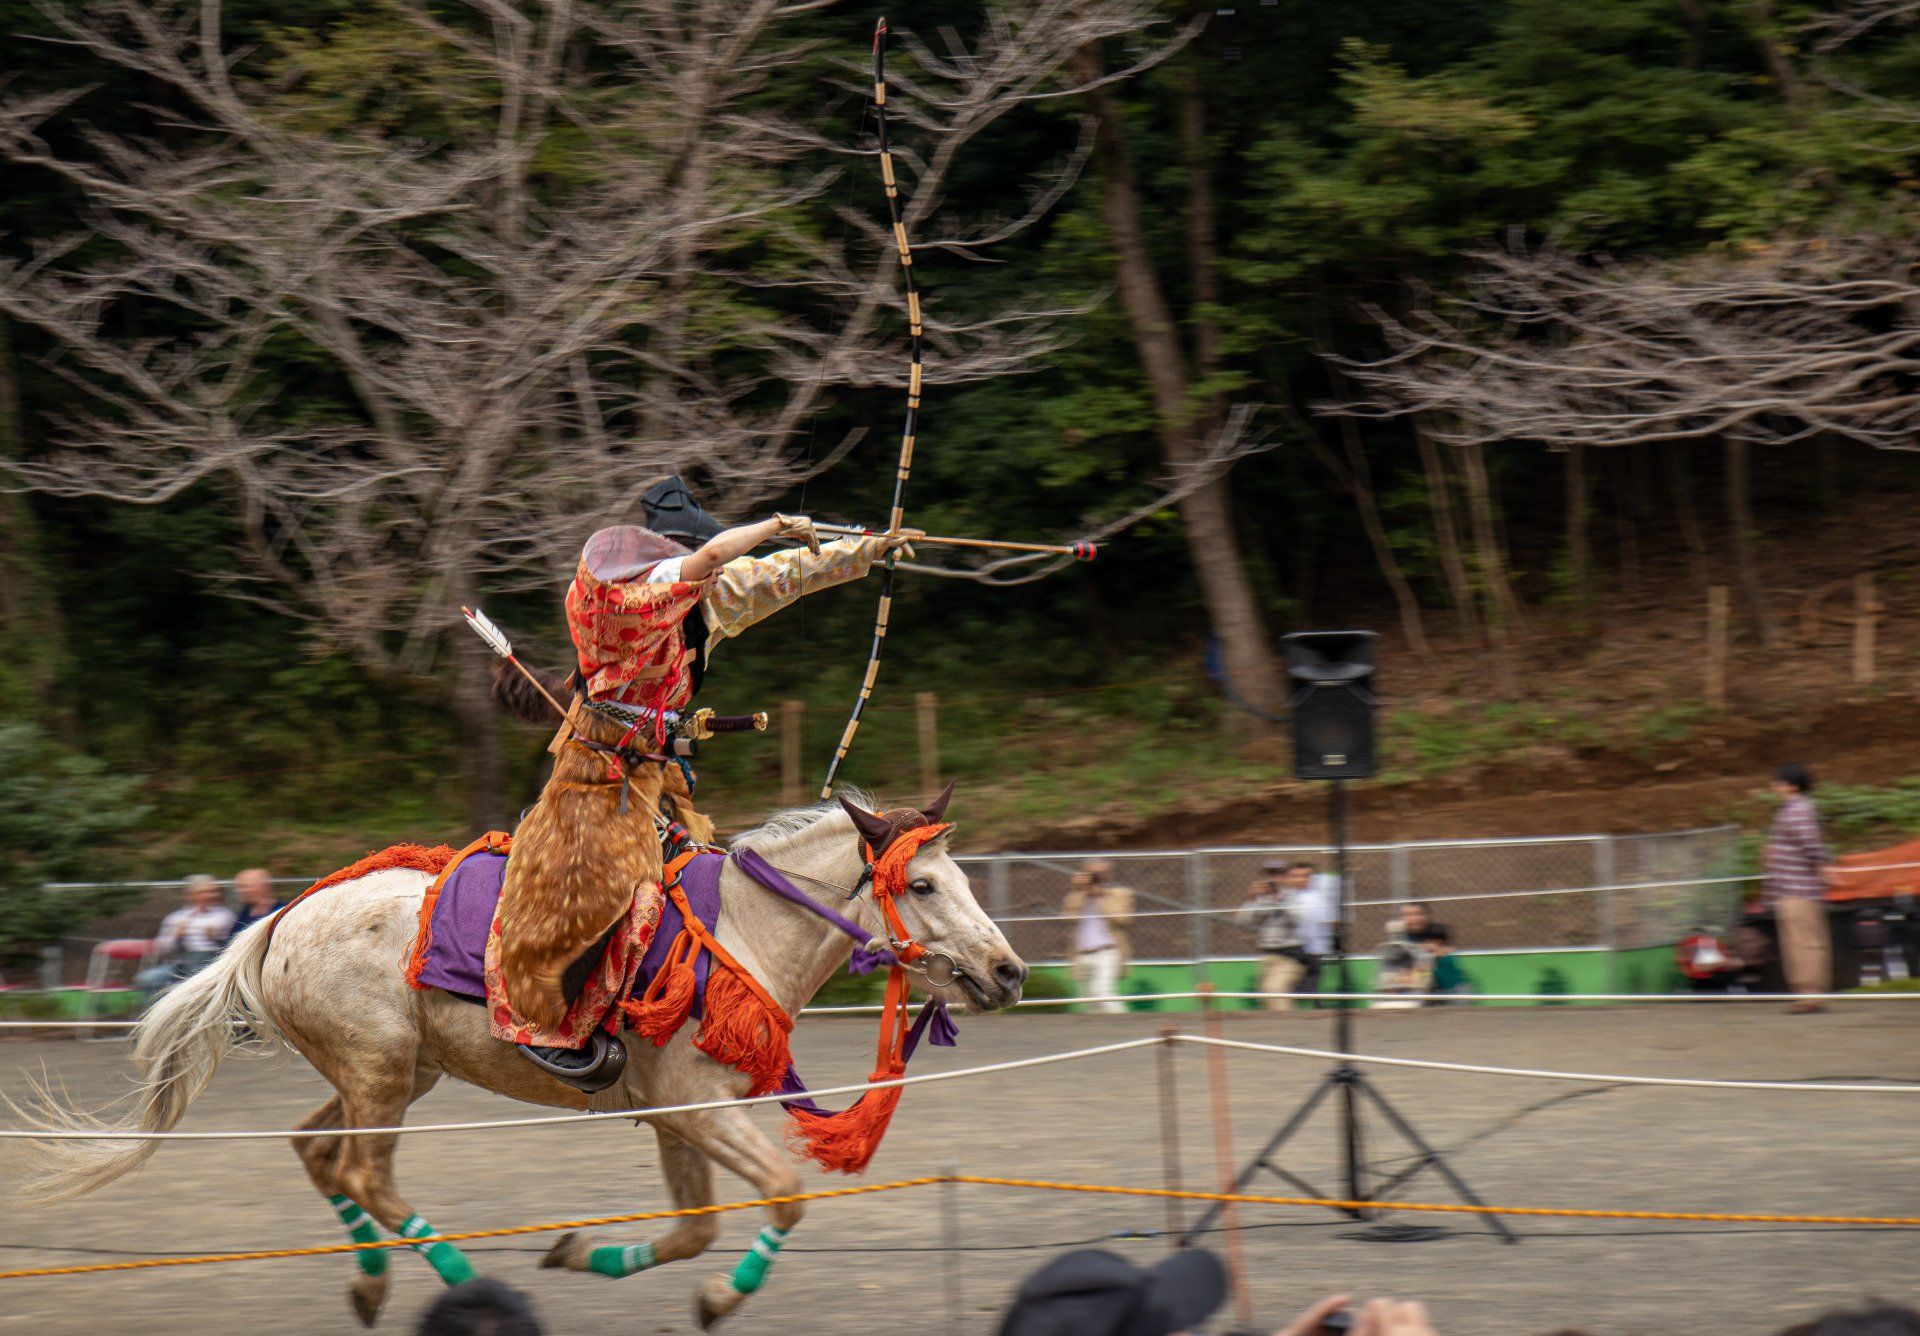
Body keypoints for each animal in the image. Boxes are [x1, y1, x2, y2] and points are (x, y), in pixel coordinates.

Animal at [15, 787, 1029, 1320]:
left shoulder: (677, 1115)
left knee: (318, 1152)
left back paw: (374, 1286)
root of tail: (277, 919)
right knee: (364, 1174)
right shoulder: (699, 1108)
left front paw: (586, 1256)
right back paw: (463, 1278)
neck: (738, 933)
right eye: (924, 885)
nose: (1010, 971)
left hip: (392, 1073)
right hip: (380, 1072)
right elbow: (782, 1191)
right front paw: (717, 1300)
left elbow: (694, 1227)